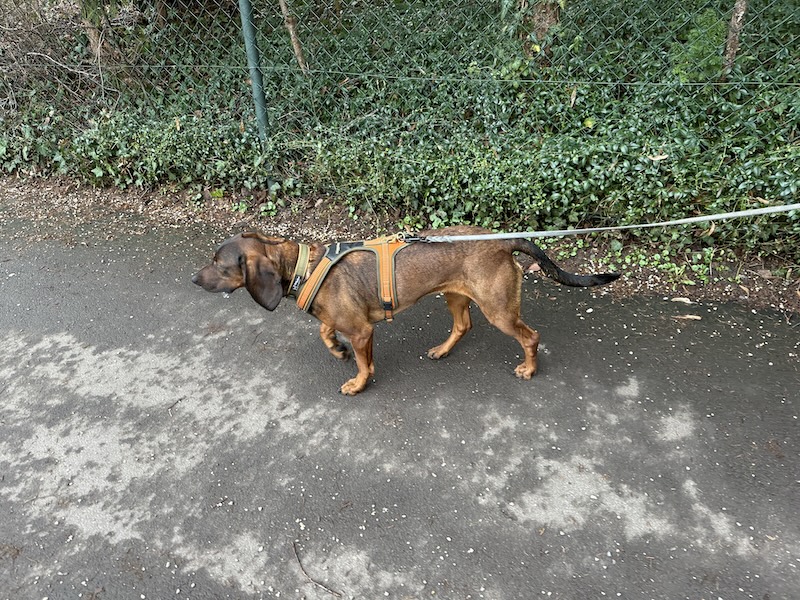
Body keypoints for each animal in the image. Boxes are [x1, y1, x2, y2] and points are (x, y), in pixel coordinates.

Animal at [192, 226, 619, 395]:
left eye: (219, 264)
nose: (194, 280)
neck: (302, 266)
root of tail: (502, 242)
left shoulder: (363, 331)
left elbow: (364, 363)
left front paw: (357, 383)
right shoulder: (345, 323)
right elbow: (325, 331)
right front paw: (336, 349)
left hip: (498, 309)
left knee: (531, 337)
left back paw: (529, 369)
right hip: (455, 296)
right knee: (462, 326)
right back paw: (442, 350)